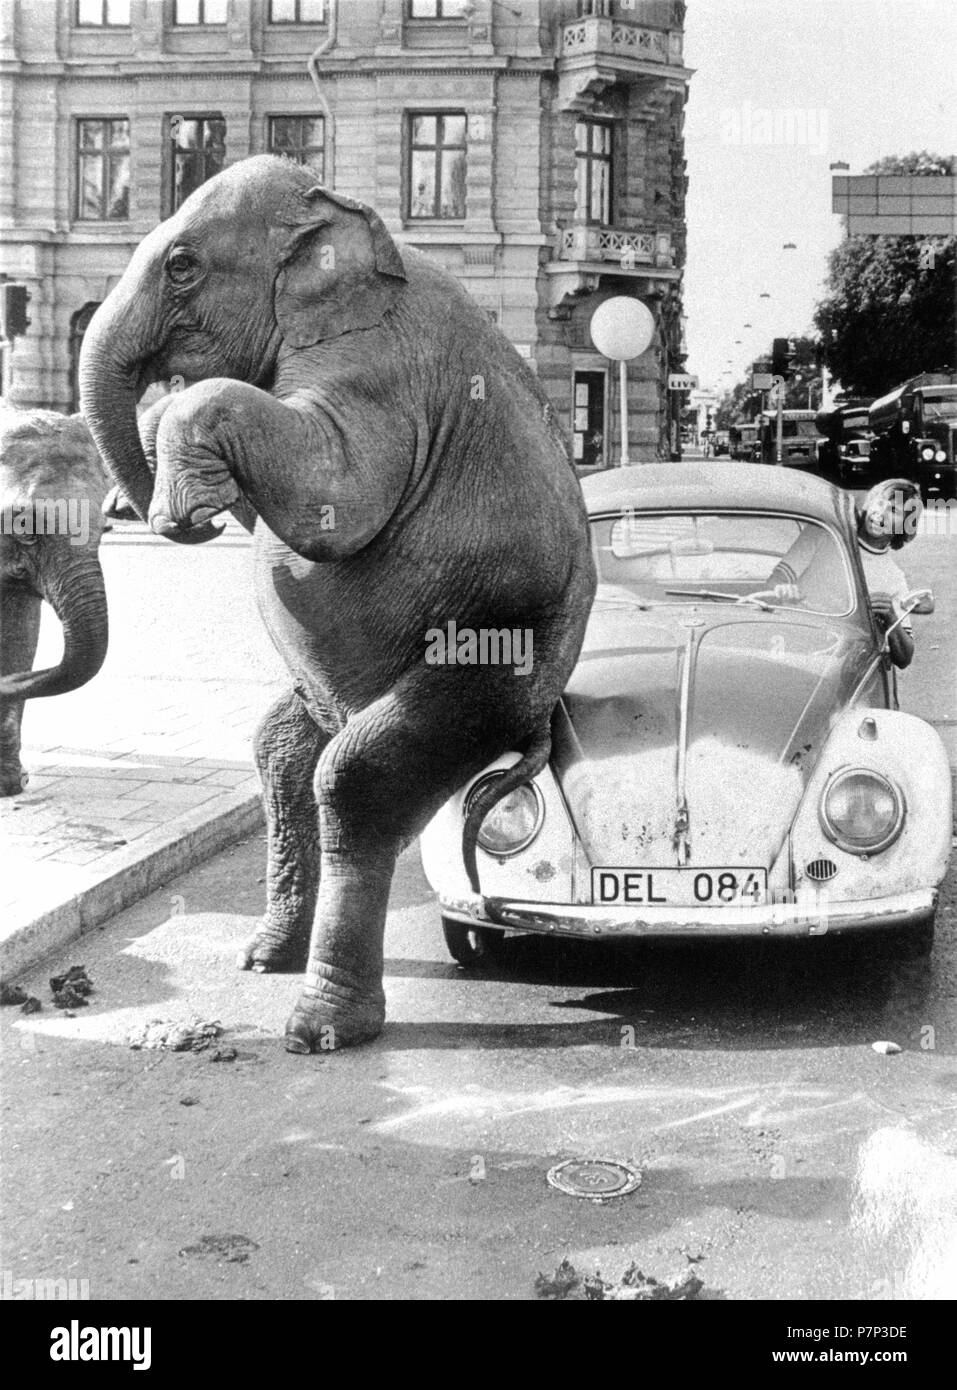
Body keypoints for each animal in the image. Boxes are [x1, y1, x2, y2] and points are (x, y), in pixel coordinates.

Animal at [80, 152, 598, 1050]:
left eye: (182, 266)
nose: (175, 523)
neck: (344, 214)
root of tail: (539, 719)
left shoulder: (377, 371)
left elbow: (336, 497)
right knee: (281, 759)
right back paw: (264, 960)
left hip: (493, 658)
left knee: (354, 782)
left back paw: (320, 1027)